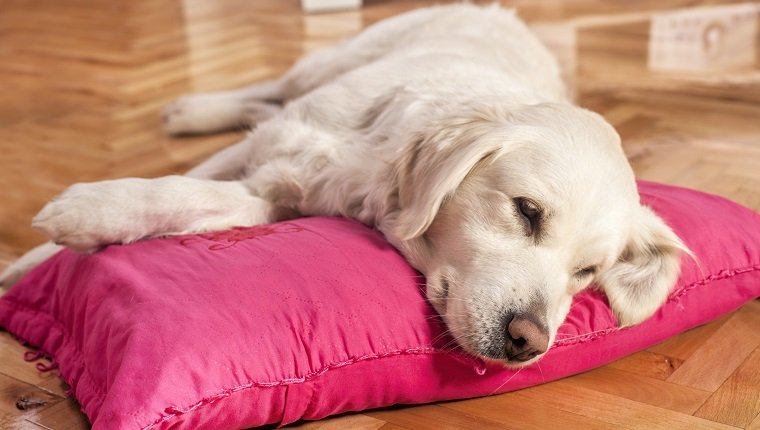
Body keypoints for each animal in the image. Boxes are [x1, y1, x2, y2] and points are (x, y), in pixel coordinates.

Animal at [1, 4, 688, 366]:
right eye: (526, 211)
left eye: (586, 273)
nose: (529, 342)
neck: (372, 164)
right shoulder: (266, 146)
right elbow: (174, 182)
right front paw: (50, 244)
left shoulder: (274, 193)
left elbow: (193, 196)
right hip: (328, 61)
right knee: (273, 88)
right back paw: (192, 108)